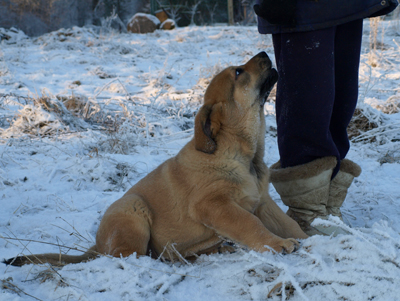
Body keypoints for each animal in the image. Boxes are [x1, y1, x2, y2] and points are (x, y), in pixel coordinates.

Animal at [3, 51, 306, 264]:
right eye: (239, 72)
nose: (265, 53)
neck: (244, 156)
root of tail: (96, 246)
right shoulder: (214, 205)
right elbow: (249, 224)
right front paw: (278, 244)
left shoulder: (262, 201)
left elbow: (287, 223)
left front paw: (312, 238)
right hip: (133, 211)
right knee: (128, 256)